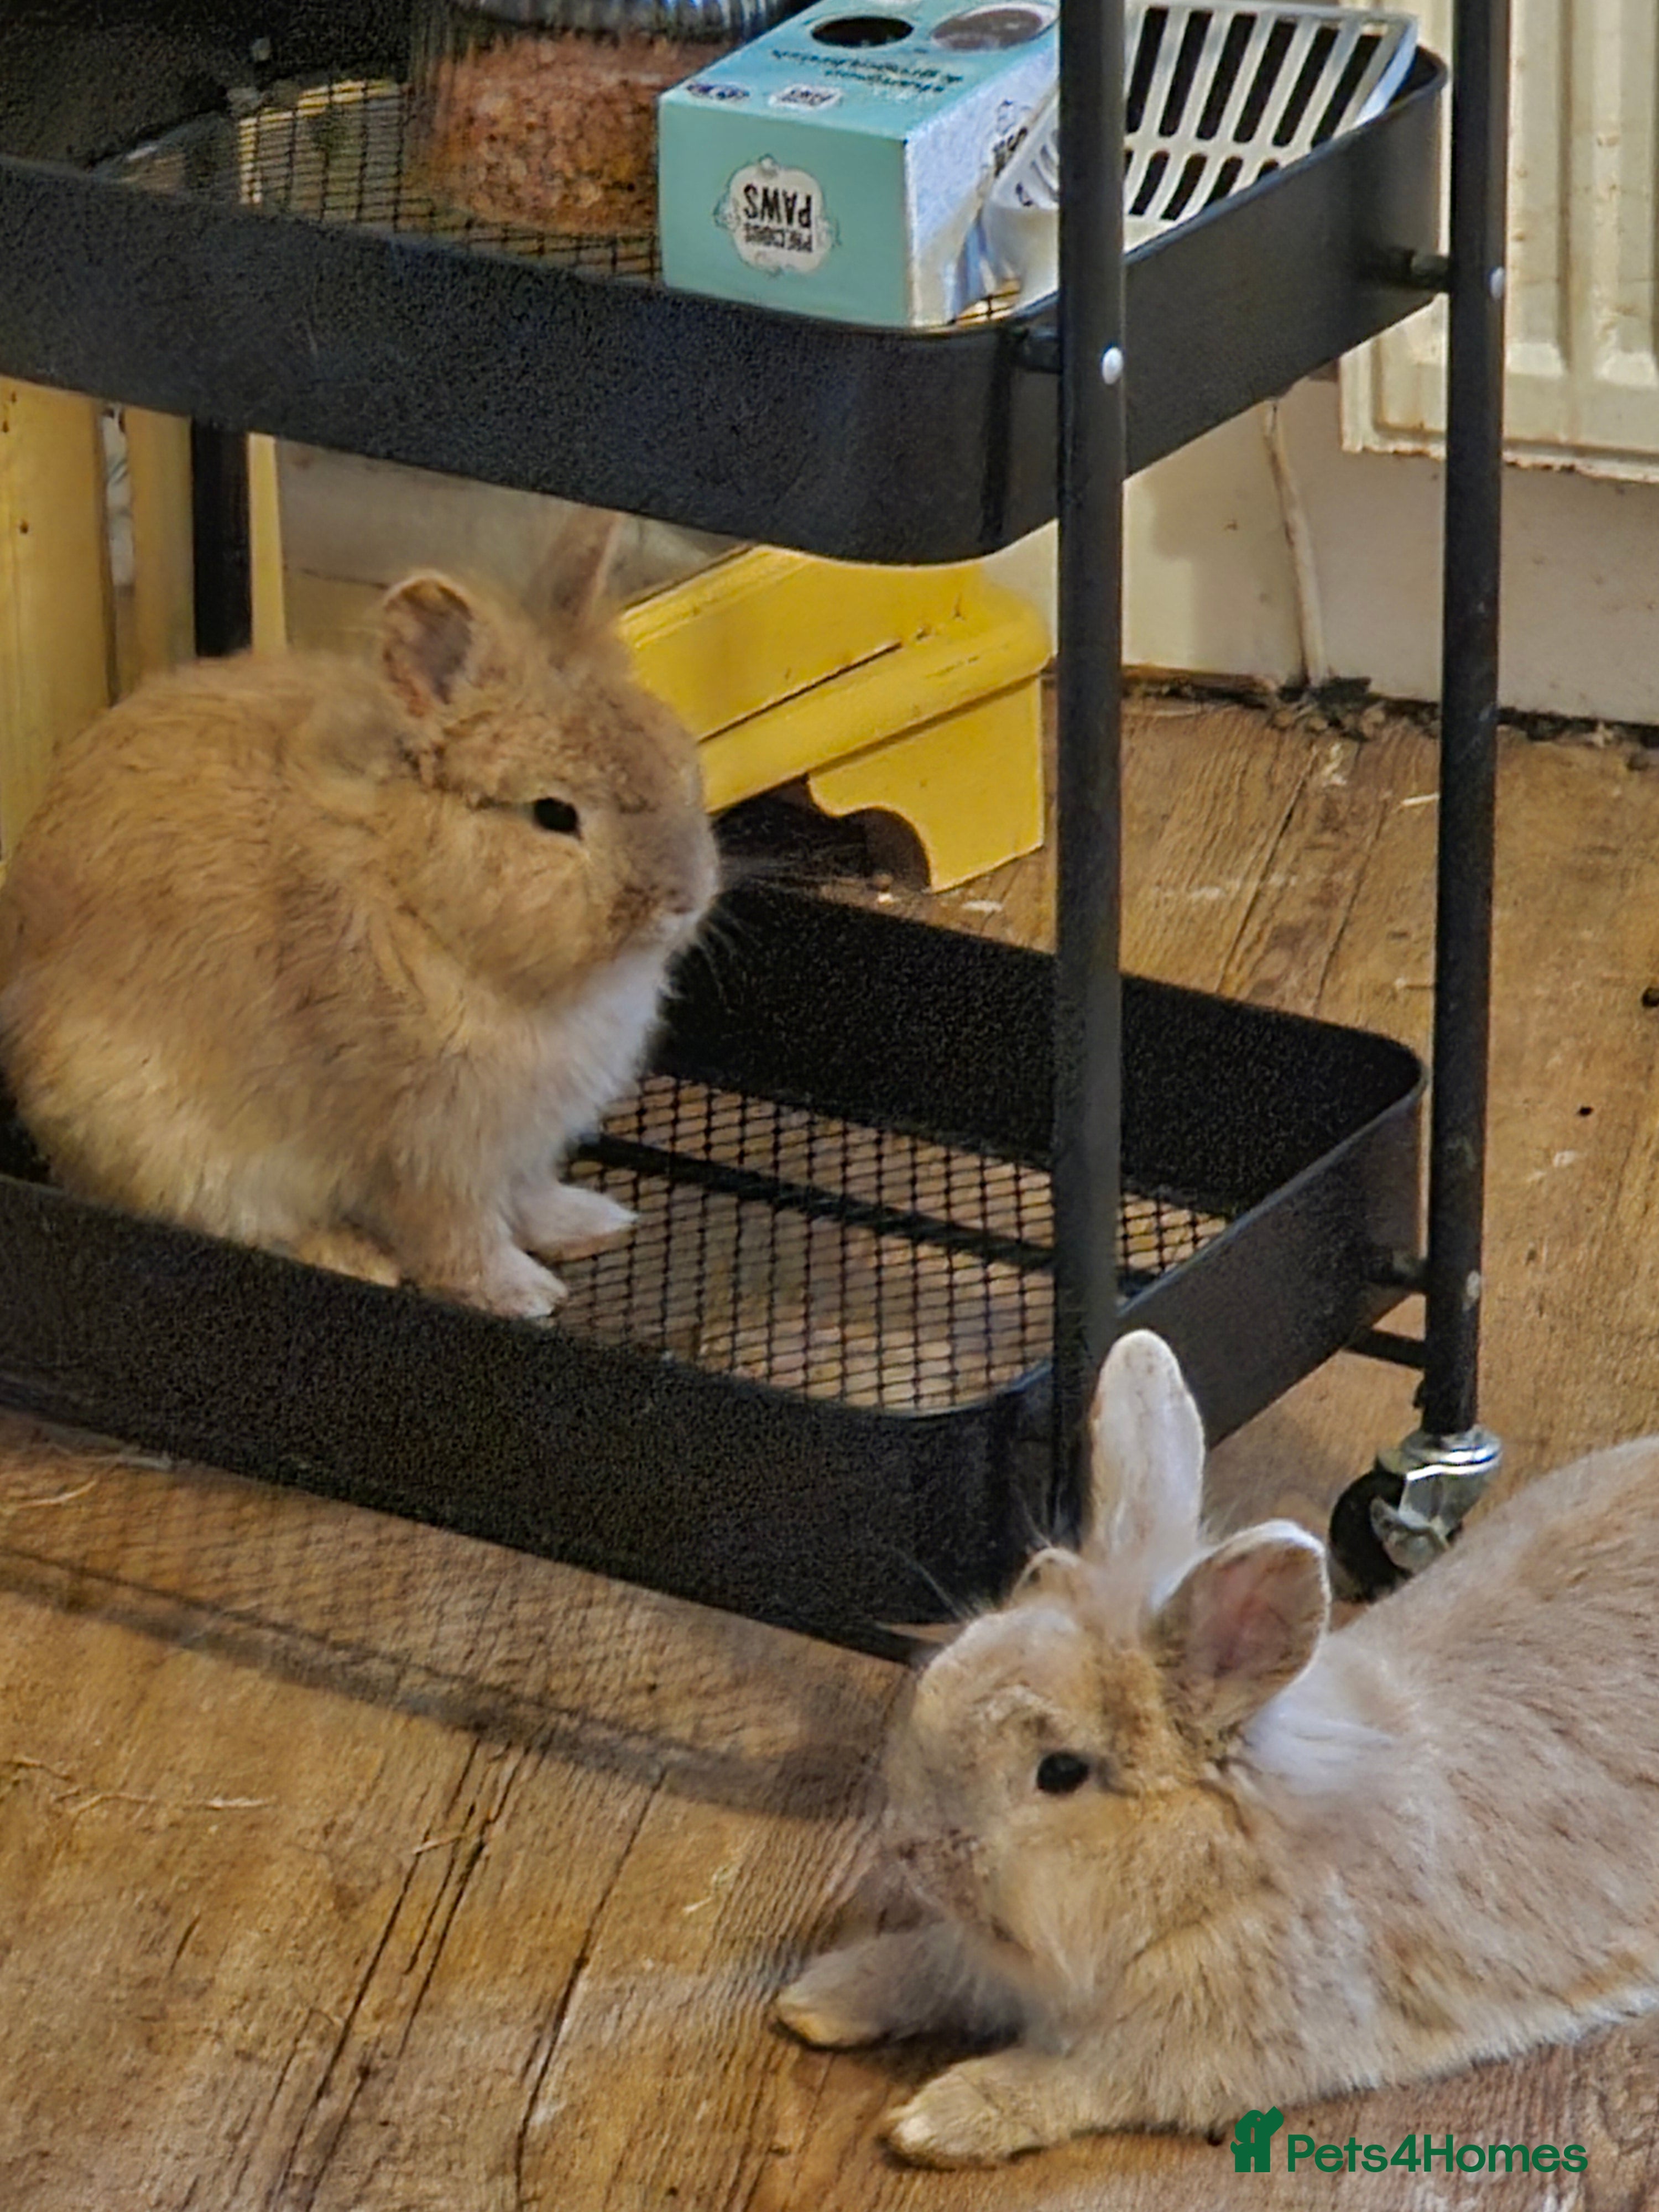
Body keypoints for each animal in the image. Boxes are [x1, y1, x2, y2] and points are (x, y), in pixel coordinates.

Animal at [0, 512, 719, 1319]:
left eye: (680, 761)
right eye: (553, 814)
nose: (682, 899)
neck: (420, 898)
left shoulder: (519, 1147)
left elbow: (529, 1195)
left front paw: (591, 1222)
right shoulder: (428, 1152)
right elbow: (457, 1235)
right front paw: (523, 1293)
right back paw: (354, 1257)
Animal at [777, 1328, 1659, 2167]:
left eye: (1060, 1773)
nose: (910, 1850)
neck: (1224, 1873)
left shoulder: (1180, 2053)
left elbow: (1068, 2080)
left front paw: (938, 2118)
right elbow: (934, 1963)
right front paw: (820, 1998)